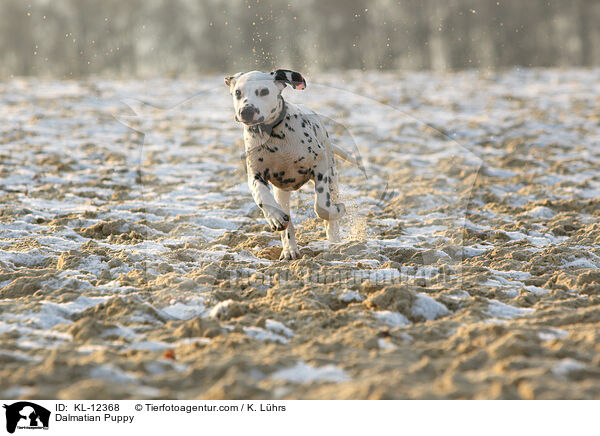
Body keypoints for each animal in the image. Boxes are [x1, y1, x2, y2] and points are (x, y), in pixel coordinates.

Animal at [224, 68, 356, 258]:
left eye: (264, 91)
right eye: (238, 93)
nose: (246, 111)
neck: (274, 135)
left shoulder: (320, 166)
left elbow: (322, 206)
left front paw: (337, 211)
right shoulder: (255, 175)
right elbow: (261, 196)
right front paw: (274, 217)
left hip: (332, 177)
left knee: (330, 207)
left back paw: (334, 238)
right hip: (282, 193)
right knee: (288, 225)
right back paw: (290, 249)